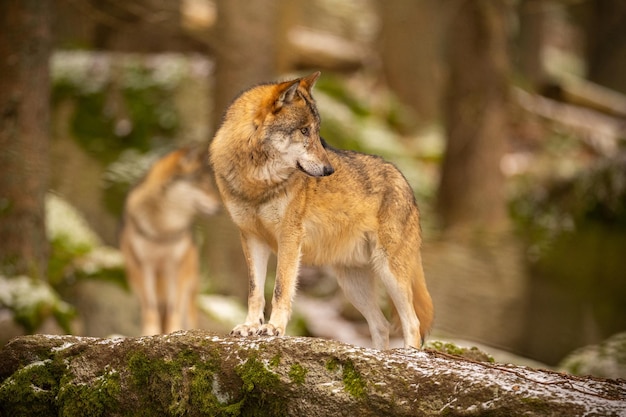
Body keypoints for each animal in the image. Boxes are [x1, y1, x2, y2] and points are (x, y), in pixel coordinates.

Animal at [119, 146, 219, 334]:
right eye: (202, 183)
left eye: (209, 183)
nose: (219, 208)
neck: (163, 230)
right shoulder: (145, 265)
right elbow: (150, 307)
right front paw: (150, 333)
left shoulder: (175, 266)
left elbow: (174, 307)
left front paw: (174, 331)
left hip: (188, 288)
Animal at [207, 71, 432, 348]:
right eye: (304, 130)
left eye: (317, 132)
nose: (329, 170)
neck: (256, 182)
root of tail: (405, 181)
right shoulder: (251, 238)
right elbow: (255, 291)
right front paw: (250, 326)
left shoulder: (290, 238)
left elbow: (281, 288)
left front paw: (273, 328)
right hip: (352, 284)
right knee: (381, 325)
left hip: (390, 272)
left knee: (412, 323)